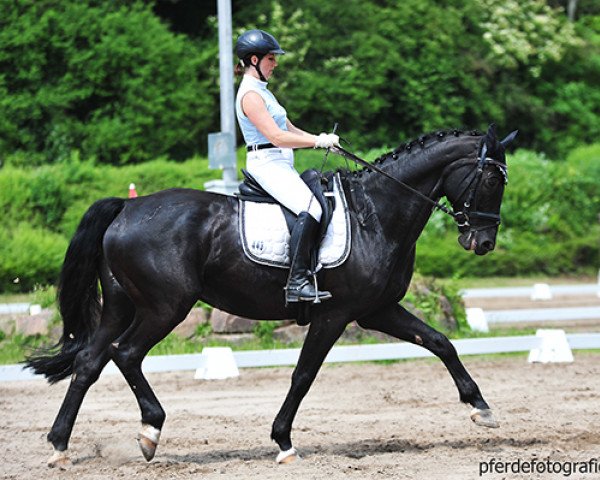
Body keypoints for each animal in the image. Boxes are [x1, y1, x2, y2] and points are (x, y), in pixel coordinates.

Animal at [27, 124, 516, 464]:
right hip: (165, 307)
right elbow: (303, 375)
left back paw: (59, 446)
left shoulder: (376, 309)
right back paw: (150, 432)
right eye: (493, 181)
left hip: (121, 305)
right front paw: (283, 441)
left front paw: (481, 407)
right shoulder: (335, 315)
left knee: (90, 361)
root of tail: (127, 206)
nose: (483, 242)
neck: (376, 213)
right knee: (124, 354)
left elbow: (440, 342)